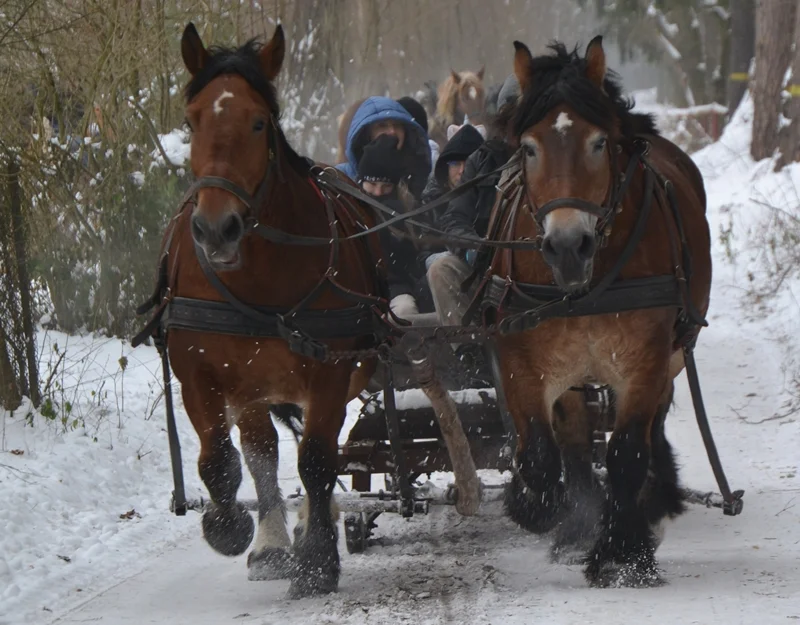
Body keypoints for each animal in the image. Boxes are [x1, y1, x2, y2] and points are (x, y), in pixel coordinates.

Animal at [158, 24, 382, 596]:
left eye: (259, 121)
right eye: (191, 121)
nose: (216, 229)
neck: (256, 276)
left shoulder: (330, 369)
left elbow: (320, 460)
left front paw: (318, 558)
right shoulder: (199, 372)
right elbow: (219, 460)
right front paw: (229, 527)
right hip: (253, 383)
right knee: (262, 449)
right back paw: (272, 542)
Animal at [484, 37, 708, 584]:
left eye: (599, 144)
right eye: (529, 147)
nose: (569, 246)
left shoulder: (645, 360)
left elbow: (627, 451)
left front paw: (623, 553)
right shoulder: (520, 358)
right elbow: (541, 455)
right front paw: (537, 507)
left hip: (672, 356)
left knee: (648, 432)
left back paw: (652, 503)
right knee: (575, 442)